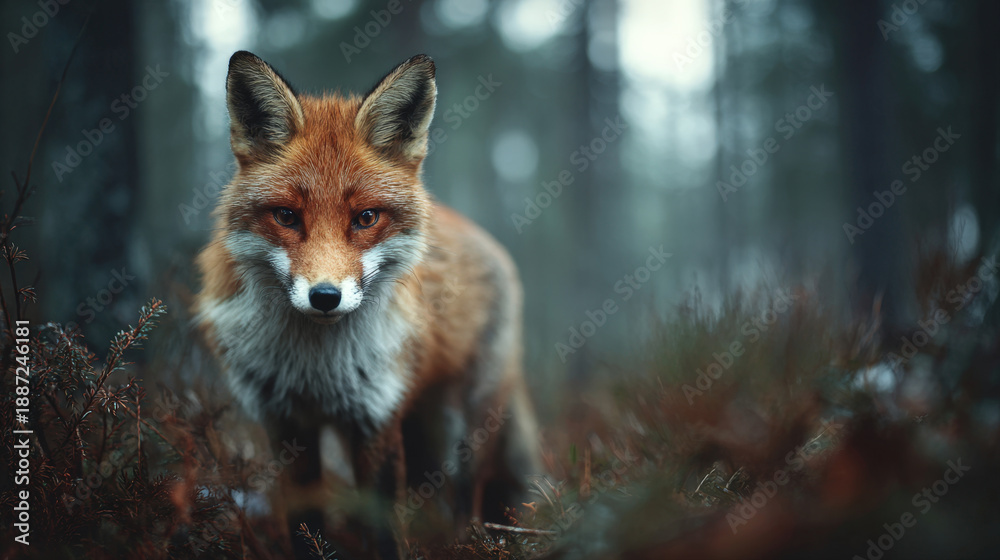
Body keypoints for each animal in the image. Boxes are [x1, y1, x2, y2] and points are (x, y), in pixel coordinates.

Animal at [194, 51, 541, 558]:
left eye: (366, 218)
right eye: (286, 216)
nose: (324, 296)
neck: (314, 367)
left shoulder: (375, 415)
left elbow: (383, 530)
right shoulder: (284, 421)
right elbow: (304, 522)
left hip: (465, 422)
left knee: (466, 496)